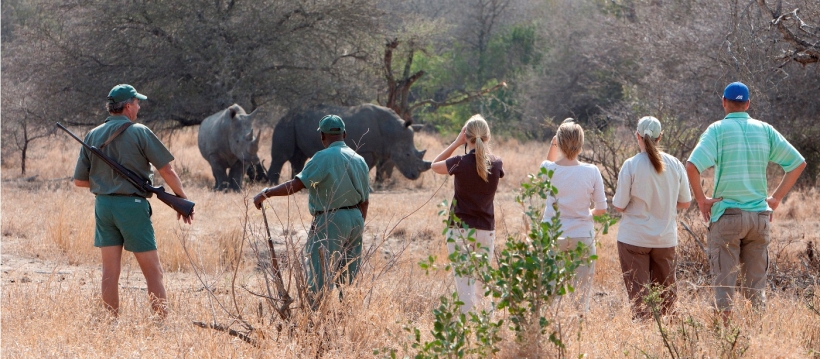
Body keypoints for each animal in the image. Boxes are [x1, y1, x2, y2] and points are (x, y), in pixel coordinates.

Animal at [270, 103, 436, 184]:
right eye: (407, 155)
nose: (415, 176)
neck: (391, 131)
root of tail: (284, 115)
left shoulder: (374, 149)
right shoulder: (365, 150)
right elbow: (367, 166)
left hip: (293, 124)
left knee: (298, 157)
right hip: (285, 124)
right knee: (281, 157)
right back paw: (272, 184)